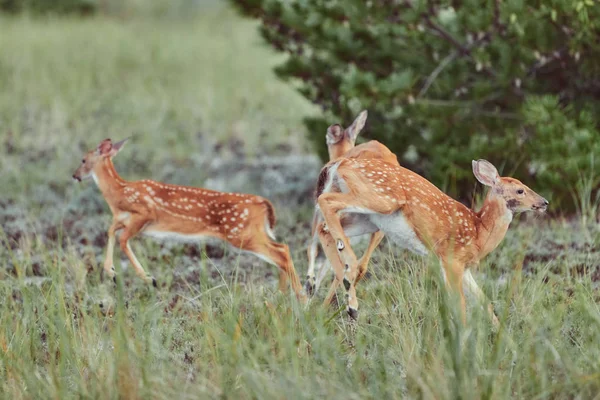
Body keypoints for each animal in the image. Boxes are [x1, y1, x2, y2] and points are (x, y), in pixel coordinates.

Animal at [72, 138, 304, 300]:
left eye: (83, 159)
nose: (75, 176)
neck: (118, 193)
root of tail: (264, 203)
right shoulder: (123, 219)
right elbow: (111, 231)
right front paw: (112, 272)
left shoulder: (145, 213)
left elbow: (121, 239)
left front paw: (149, 279)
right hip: (253, 232)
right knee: (282, 249)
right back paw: (282, 296)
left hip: (241, 233)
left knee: (281, 253)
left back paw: (301, 298)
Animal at [314, 158, 548, 324]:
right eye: (520, 190)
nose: (544, 202)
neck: (479, 232)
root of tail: (338, 163)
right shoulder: (452, 259)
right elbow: (460, 304)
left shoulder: (464, 267)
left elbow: (485, 303)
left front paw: (505, 339)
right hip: (380, 199)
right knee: (324, 201)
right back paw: (350, 283)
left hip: (370, 219)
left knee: (323, 227)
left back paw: (344, 295)